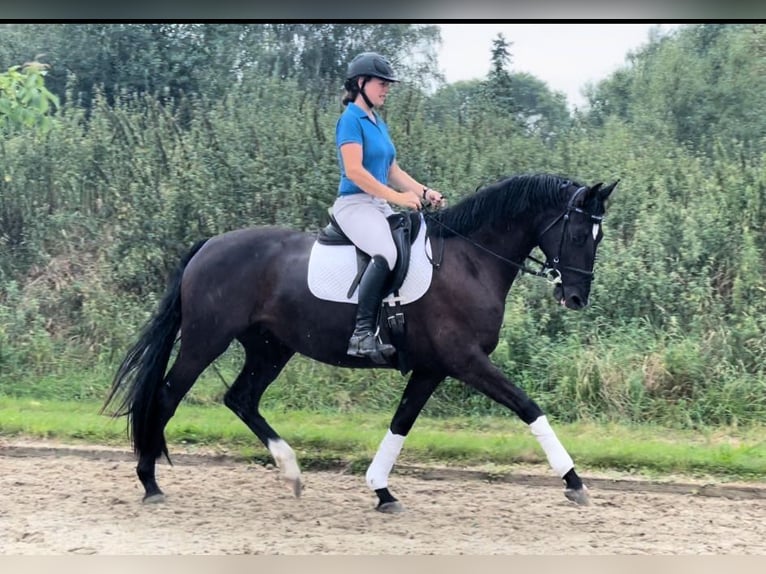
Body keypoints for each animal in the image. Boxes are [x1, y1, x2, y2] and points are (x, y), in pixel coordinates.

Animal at [100, 172, 616, 512]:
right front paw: (574, 481)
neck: (470, 259)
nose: (575, 297)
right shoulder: (465, 361)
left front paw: (381, 490)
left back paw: (291, 472)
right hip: (206, 341)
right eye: (577, 232)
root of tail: (208, 246)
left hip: (270, 348)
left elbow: (401, 423)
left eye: (597, 235)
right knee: (167, 395)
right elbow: (529, 407)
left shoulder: (432, 368)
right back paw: (149, 482)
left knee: (241, 398)